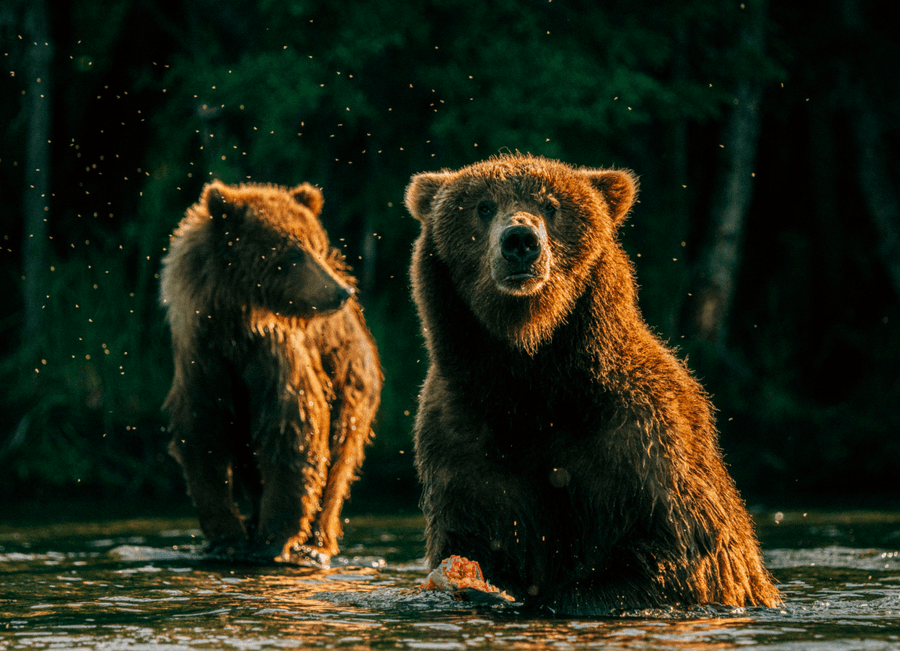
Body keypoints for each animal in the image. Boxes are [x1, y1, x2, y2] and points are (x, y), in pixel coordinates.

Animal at [160, 180, 381, 565]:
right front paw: (227, 536)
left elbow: (292, 429)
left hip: (350, 382)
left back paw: (316, 542)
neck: (234, 328)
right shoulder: (203, 361)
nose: (341, 291)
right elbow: (204, 435)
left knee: (339, 461)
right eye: (293, 253)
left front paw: (272, 539)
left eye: (316, 245)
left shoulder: (275, 358)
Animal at [404, 153, 781, 615]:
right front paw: (478, 582)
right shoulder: (465, 432)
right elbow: (475, 531)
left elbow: (681, 554)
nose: (520, 240)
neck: (533, 372)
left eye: (552, 205)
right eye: (483, 206)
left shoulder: (638, 433)